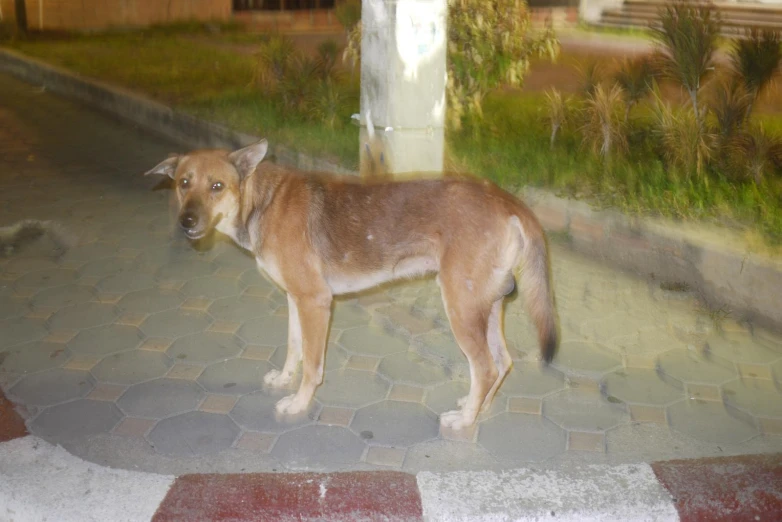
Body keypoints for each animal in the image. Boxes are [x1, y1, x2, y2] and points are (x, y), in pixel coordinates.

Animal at [145, 139, 556, 426]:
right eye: (184, 183)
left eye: (217, 186)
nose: (186, 222)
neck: (262, 202)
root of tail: (508, 200)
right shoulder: (295, 299)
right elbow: (294, 348)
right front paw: (285, 378)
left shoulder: (315, 302)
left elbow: (312, 365)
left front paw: (299, 403)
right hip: (485, 307)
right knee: (501, 363)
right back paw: (478, 407)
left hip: (461, 306)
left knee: (485, 367)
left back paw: (467, 419)